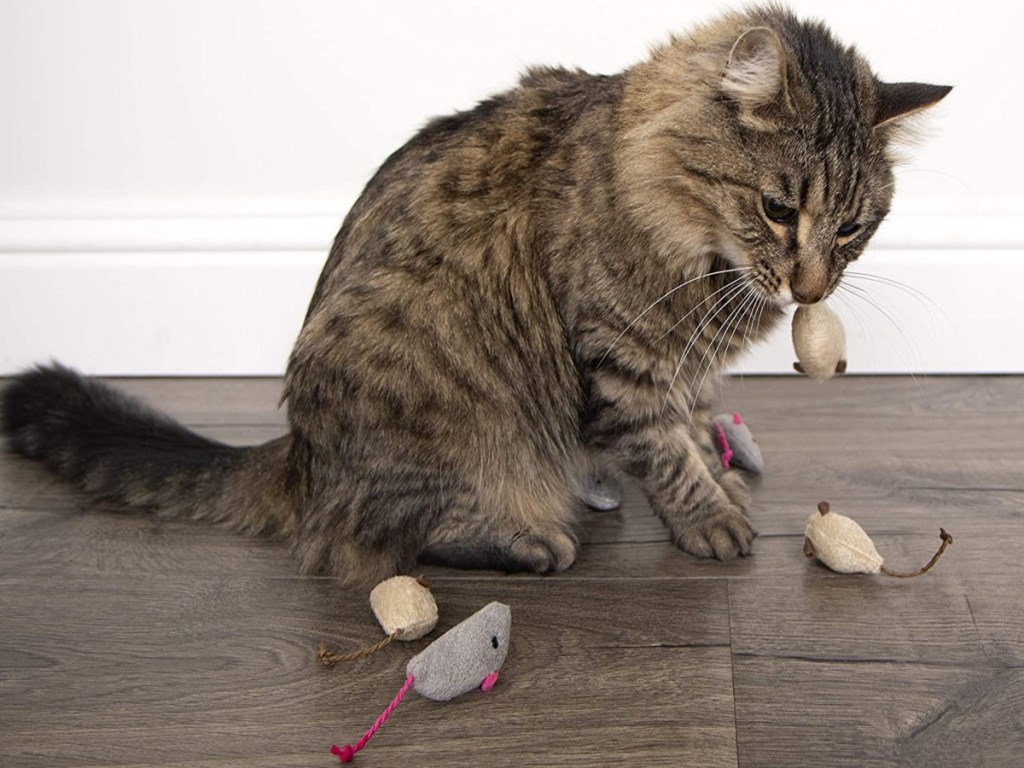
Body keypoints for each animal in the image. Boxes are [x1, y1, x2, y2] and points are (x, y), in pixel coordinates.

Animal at [0, 6, 946, 585]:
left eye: (852, 228)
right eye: (779, 210)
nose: (808, 284)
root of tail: (302, 457)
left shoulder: (676, 371)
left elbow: (688, 424)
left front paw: (716, 478)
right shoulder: (619, 364)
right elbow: (667, 453)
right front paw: (712, 518)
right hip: (442, 410)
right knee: (378, 539)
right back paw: (531, 538)